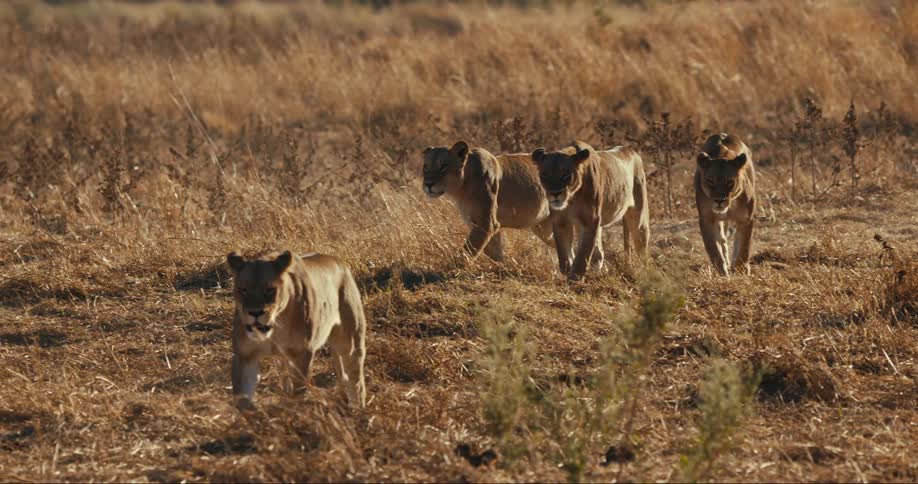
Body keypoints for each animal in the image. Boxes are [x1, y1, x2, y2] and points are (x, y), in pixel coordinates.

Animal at [226, 250, 367, 410]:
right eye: (243, 290)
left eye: (270, 290)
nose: (255, 313)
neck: (274, 328)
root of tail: (337, 260)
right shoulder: (245, 356)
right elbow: (242, 398)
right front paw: (253, 414)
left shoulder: (301, 354)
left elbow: (297, 393)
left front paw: (291, 411)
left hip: (350, 343)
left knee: (356, 382)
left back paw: (358, 410)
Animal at [422, 140, 558, 262]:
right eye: (426, 167)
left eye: (444, 166)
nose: (428, 184)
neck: (462, 189)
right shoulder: (480, 223)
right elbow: (494, 251)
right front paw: (504, 267)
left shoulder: (486, 223)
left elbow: (467, 251)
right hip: (543, 229)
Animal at [531, 141, 650, 280]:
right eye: (544, 175)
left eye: (566, 175)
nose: (555, 193)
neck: (572, 197)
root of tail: (631, 150)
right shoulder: (560, 221)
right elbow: (564, 256)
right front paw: (568, 270)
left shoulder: (591, 220)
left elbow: (582, 255)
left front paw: (574, 279)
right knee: (599, 252)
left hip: (639, 219)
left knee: (642, 249)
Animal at [694, 133, 756, 275]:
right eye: (710, 181)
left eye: (730, 182)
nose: (719, 200)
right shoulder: (707, 219)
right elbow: (714, 249)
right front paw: (723, 273)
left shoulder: (745, 219)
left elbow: (743, 248)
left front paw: (740, 270)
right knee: (722, 239)